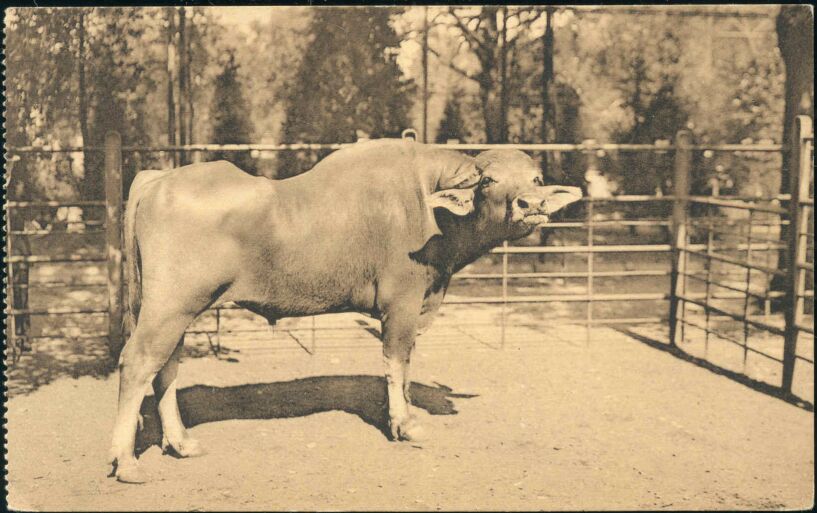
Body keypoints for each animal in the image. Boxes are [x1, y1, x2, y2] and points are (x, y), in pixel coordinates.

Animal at [109, 139, 582, 483]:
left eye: (536, 177)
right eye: (488, 181)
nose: (531, 204)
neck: (428, 207)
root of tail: (159, 177)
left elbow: (407, 365)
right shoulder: (401, 303)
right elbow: (396, 362)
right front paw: (404, 424)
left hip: (177, 311)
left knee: (166, 368)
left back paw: (181, 443)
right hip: (170, 306)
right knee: (137, 363)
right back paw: (126, 462)